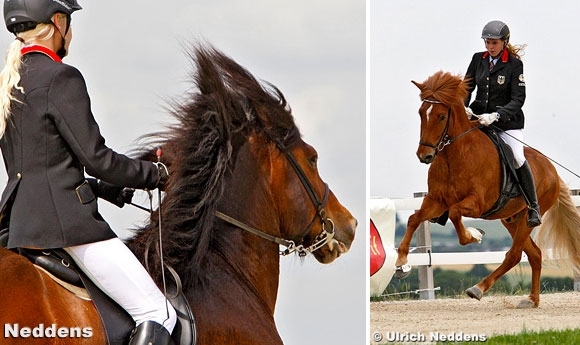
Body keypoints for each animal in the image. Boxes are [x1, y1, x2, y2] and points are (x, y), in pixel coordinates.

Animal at [394, 70, 580, 306]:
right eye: (421, 113)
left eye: (442, 116)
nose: (424, 156)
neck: (455, 155)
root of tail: (552, 170)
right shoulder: (436, 200)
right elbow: (414, 219)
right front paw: (401, 263)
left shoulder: (477, 203)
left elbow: (455, 214)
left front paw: (475, 234)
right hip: (511, 218)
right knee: (534, 254)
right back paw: (531, 299)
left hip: (528, 217)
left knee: (514, 255)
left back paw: (478, 288)